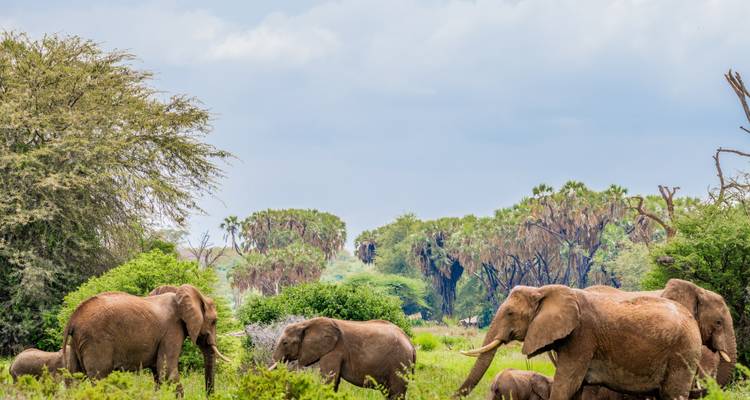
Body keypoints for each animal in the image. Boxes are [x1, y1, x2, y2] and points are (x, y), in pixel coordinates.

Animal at [62, 284, 231, 395]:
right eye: (214, 321)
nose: (210, 395)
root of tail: (73, 318)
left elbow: (158, 373)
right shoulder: (172, 330)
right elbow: (167, 371)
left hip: (76, 343)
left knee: (73, 379)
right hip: (96, 341)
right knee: (100, 379)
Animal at [270, 317, 416, 400]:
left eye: (285, 343)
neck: (306, 323)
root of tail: (411, 344)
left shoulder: (334, 350)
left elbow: (329, 379)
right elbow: (334, 381)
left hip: (399, 363)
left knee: (396, 393)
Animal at [456, 284, 702, 400]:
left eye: (509, 313)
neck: (543, 290)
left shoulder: (583, 337)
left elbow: (566, 384)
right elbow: (574, 389)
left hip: (682, 353)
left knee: (673, 393)